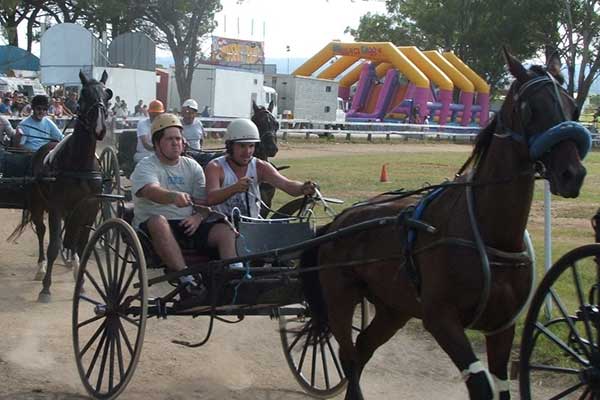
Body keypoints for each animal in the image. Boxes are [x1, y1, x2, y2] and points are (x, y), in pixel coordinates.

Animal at [10, 70, 112, 302]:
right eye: (83, 95)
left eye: (107, 95)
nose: (100, 128)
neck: (79, 166)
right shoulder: (56, 207)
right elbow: (53, 245)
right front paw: (46, 288)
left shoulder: (90, 208)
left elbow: (81, 245)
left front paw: (80, 282)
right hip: (38, 204)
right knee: (41, 231)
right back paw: (40, 268)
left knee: (70, 238)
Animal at [298, 49, 588, 400]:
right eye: (531, 108)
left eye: (574, 107)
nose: (572, 174)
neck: (490, 235)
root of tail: (338, 222)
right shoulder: (441, 320)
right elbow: (480, 385)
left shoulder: (502, 326)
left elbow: (501, 385)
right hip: (341, 297)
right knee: (348, 353)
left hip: (394, 307)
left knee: (363, 347)